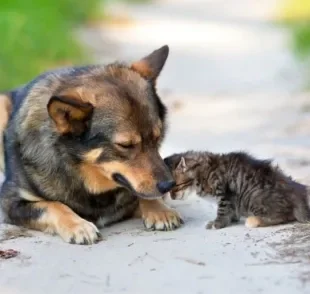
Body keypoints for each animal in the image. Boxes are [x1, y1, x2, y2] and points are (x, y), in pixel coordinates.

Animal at [0, 45, 183, 243]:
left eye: (157, 138)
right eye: (125, 145)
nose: (169, 185)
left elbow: (142, 194)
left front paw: (160, 210)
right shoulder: (10, 201)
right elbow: (52, 205)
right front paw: (78, 225)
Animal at [165, 152, 310, 230]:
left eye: (175, 186)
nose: (172, 197)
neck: (202, 172)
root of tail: (297, 192)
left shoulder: (224, 192)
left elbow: (222, 211)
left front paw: (217, 224)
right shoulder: (230, 198)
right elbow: (231, 210)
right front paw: (232, 219)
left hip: (253, 197)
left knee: (282, 216)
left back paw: (253, 220)